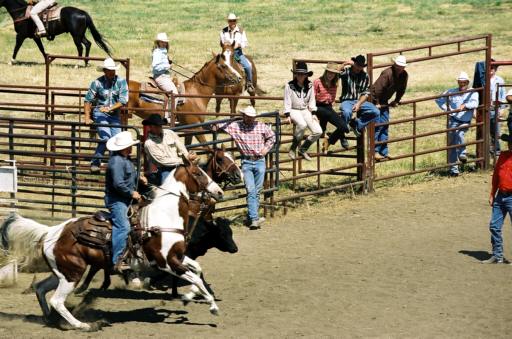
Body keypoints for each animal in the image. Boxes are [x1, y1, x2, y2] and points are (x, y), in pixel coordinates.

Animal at [0, 161, 224, 330]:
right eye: (198, 173)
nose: (220, 192)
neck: (163, 217)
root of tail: (52, 232)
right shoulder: (167, 262)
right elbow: (195, 277)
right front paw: (212, 307)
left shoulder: (178, 256)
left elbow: (198, 270)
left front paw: (189, 297)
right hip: (73, 273)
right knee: (56, 300)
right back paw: (83, 325)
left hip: (63, 272)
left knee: (40, 288)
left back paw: (50, 318)